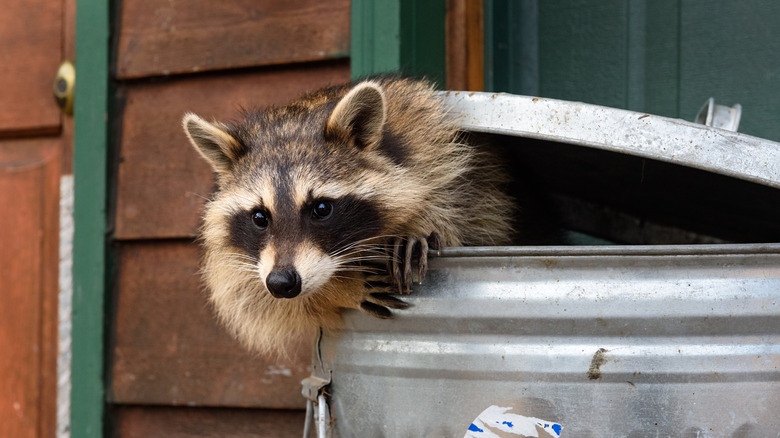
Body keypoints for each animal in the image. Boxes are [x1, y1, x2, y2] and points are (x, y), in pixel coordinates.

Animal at [183, 77, 515, 356]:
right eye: (260, 217)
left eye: (321, 209)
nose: (281, 282)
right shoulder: (241, 261)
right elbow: (251, 297)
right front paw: (339, 290)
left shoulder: (439, 153)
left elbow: (464, 210)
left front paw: (419, 224)